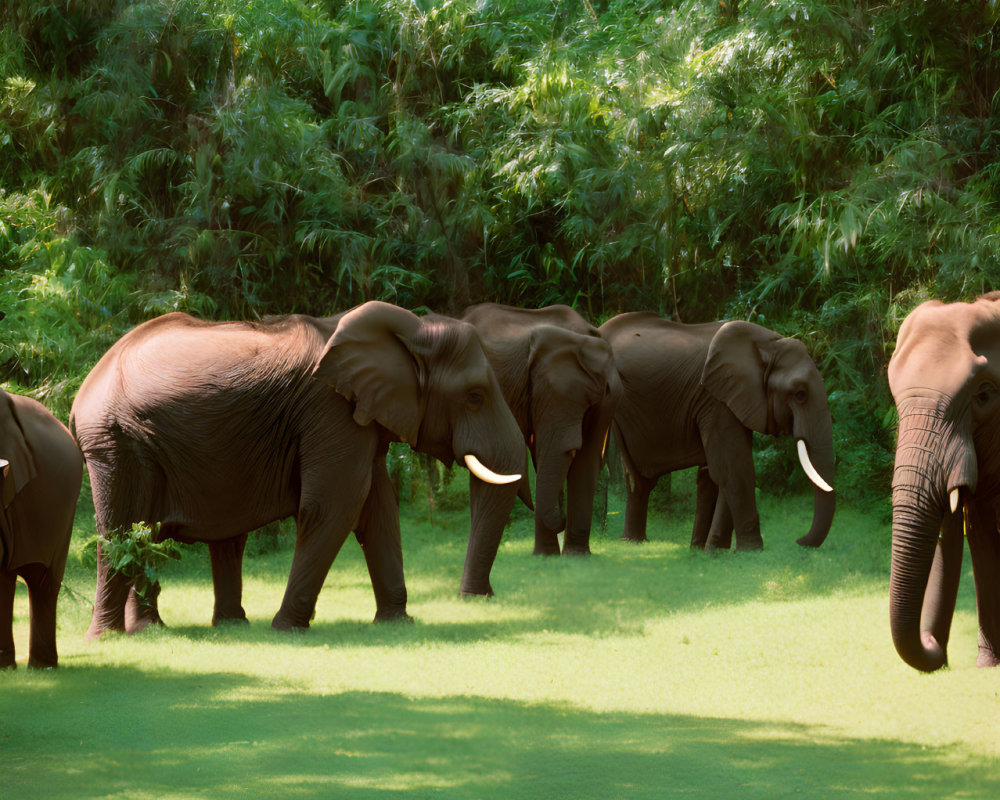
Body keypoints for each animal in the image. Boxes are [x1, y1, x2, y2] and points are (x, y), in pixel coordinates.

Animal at [69, 302, 524, 636]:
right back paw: (109, 637)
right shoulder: (330, 410)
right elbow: (333, 506)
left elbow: (378, 511)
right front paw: (287, 629)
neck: (413, 331)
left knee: (155, 531)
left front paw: (397, 622)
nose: (479, 597)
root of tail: (83, 391)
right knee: (122, 528)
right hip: (114, 441)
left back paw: (175, 629)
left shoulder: (359, 418)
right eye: (475, 396)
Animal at [596, 312, 840, 552]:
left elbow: (714, 473)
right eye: (800, 394)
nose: (799, 541)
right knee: (636, 477)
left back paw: (637, 541)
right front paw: (749, 551)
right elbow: (733, 467)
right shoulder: (715, 398)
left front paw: (708, 550)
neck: (768, 345)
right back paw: (632, 542)